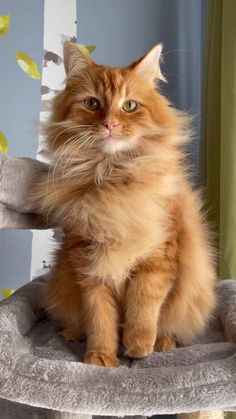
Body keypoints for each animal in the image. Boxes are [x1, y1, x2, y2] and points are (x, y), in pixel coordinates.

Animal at [34, 41, 216, 368]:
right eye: (92, 104)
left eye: (129, 106)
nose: (110, 124)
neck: (112, 179)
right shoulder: (88, 263)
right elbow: (100, 318)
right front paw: (100, 357)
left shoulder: (158, 256)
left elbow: (143, 307)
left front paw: (138, 346)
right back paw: (73, 333)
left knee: (169, 326)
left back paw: (163, 343)